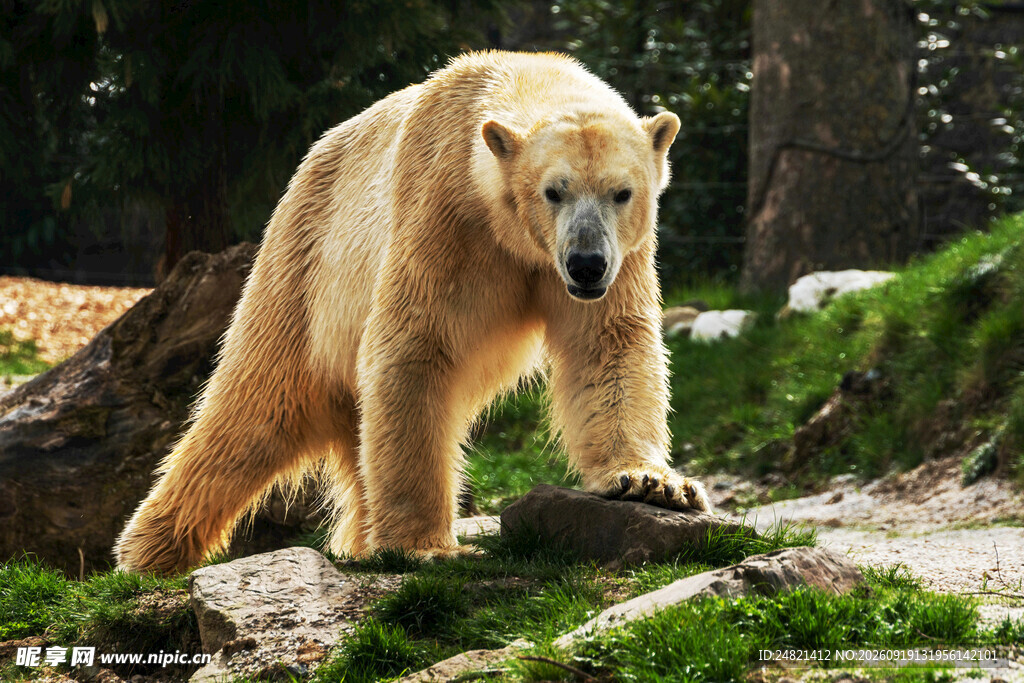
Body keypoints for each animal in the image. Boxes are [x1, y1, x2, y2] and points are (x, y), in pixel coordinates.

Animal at [114, 50, 710, 574]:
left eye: (622, 192)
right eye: (553, 191)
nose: (586, 264)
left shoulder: (622, 258)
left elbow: (608, 344)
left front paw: (652, 483)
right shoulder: (444, 217)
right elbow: (414, 350)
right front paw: (423, 546)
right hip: (302, 266)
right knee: (252, 407)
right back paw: (148, 551)